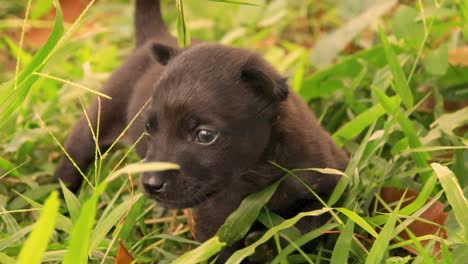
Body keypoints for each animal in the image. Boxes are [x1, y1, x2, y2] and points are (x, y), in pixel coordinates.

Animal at [54, 0, 348, 260]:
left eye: (205, 136)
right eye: (149, 128)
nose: (151, 184)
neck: (256, 173)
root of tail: (154, 36)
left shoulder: (334, 181)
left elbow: (309, 224)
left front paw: (275, 244)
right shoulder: (214, 226)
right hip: (95, 123)